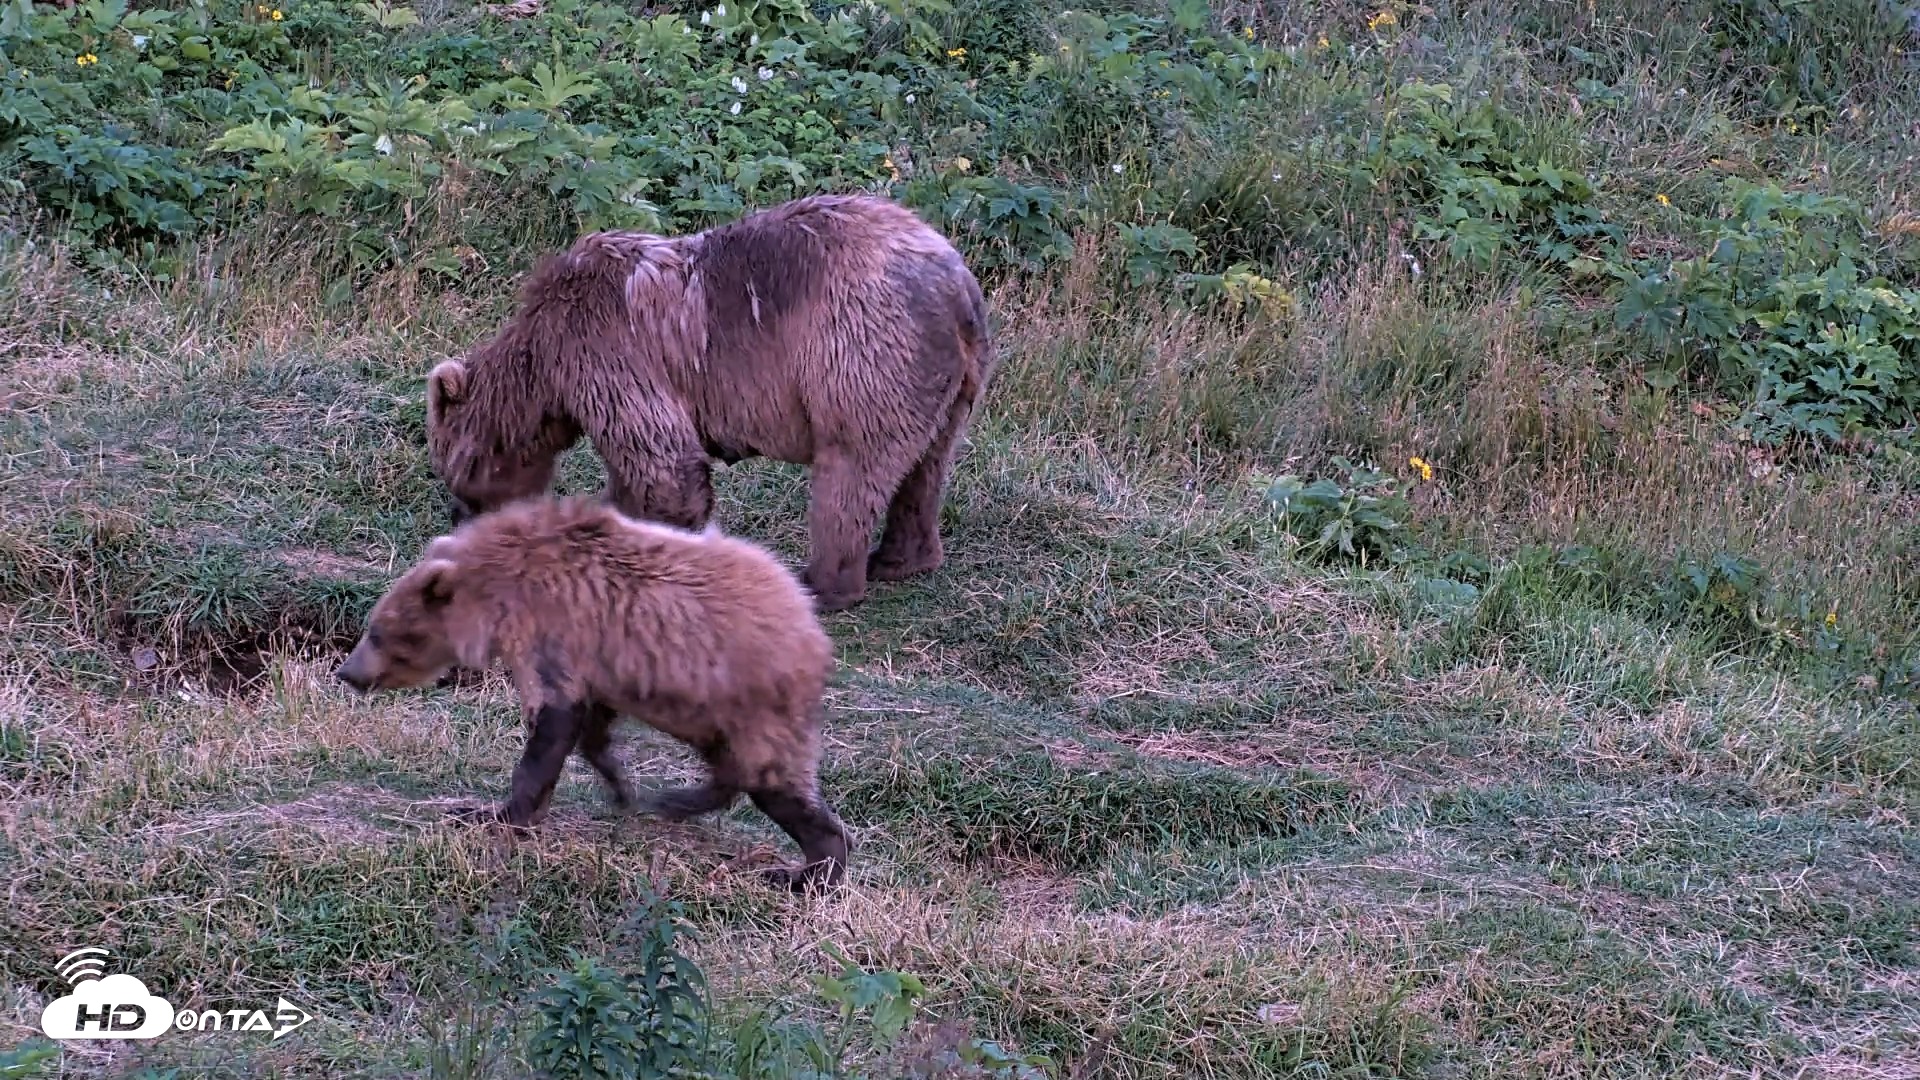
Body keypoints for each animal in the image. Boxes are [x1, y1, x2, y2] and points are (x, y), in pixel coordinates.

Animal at [332, 495, 852, 891]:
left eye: (377, 632)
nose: (346, 672)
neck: (496, 593)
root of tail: (812, 630)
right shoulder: (595, 659)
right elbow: (590, 726)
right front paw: (619, 785)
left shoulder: (553, 629)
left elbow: (552, 722)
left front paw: (493, 812)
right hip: (713, 707)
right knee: (732, 767)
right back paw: (677, 801)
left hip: (752, 698)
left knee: (773, 778)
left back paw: (806, 871)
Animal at [422, 192, 997, 613]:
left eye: (452, 470)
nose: (457, 517)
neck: (542, 369)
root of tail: (958, 285)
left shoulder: (607, 349)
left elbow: (664, 462)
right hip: (952, 382)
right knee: (927, 467)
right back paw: (903, 558)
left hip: (860, 353)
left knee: (851, 470)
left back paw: (822, 583)